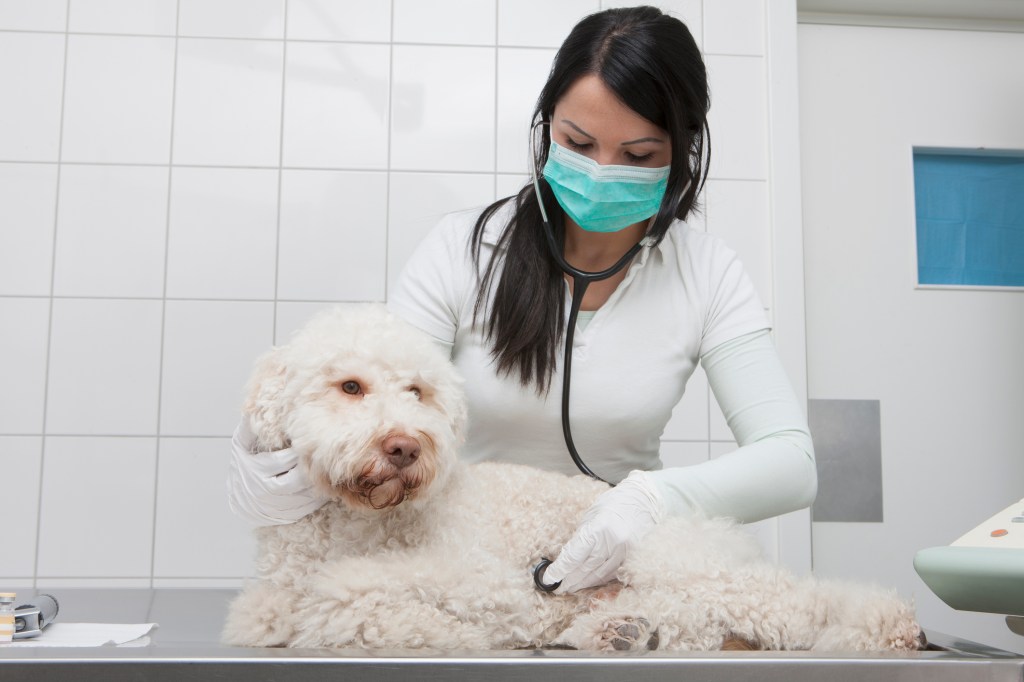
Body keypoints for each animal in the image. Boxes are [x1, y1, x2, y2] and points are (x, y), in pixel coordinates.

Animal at [220, 303, 925, 647]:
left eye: (417, 391)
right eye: (350, 386)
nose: (404, 447)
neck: (357, 522)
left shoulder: (479, 580)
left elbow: (343, 594)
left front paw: (447, 631)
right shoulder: (266, 605)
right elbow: (304, 611)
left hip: (670, 555)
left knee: (790, 604)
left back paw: (887, 626)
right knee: (695, 623)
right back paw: (624, 632)